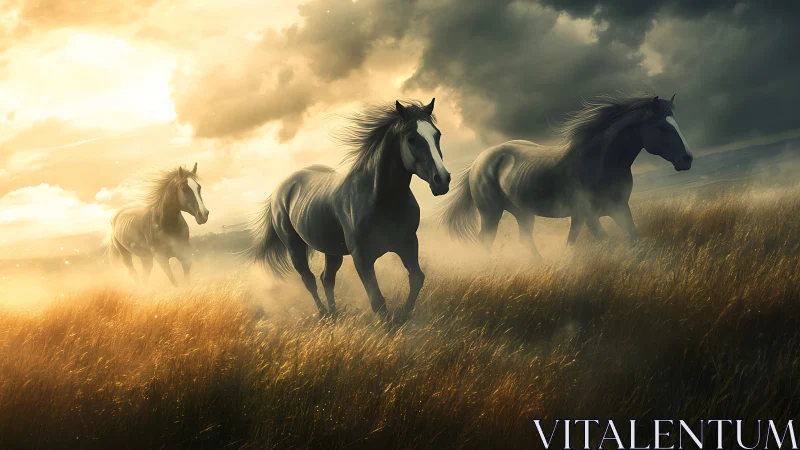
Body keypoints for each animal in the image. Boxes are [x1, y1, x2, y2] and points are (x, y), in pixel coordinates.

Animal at [248, 99, 450, 322]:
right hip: (295, 247)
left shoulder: (408, 243)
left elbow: (417, 278)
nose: (442, 180)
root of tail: (281, 188)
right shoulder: (361, 257)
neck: (380, 200)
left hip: (332, 250)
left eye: (437, 135)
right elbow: (377, 300)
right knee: (309, 280)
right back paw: (324, 316)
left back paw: (334, 315)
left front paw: (402, 318)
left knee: (327, 278)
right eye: (411, 139)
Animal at [440, 94, 692, 255]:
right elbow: (607, 242)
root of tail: (478, 162)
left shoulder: (617, 210)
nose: (687, 159)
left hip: (522, 212)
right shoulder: (589, 215)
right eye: (663, 127)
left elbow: (632, 239)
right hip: (491, 214)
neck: (599, 162)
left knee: (525, 239)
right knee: (486, 241)